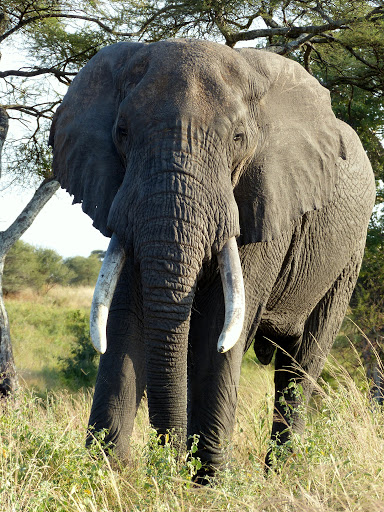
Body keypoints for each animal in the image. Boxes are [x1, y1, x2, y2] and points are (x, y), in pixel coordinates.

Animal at [48, 39, 376, 480]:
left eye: (238, 137)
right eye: (122, 132)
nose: (168, 460)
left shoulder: (264, 199)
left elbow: (216, 329)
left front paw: (208, 483)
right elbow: (126, 321)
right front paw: (105, 475)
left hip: (349, 255)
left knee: (301, 362)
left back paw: (281, 474)